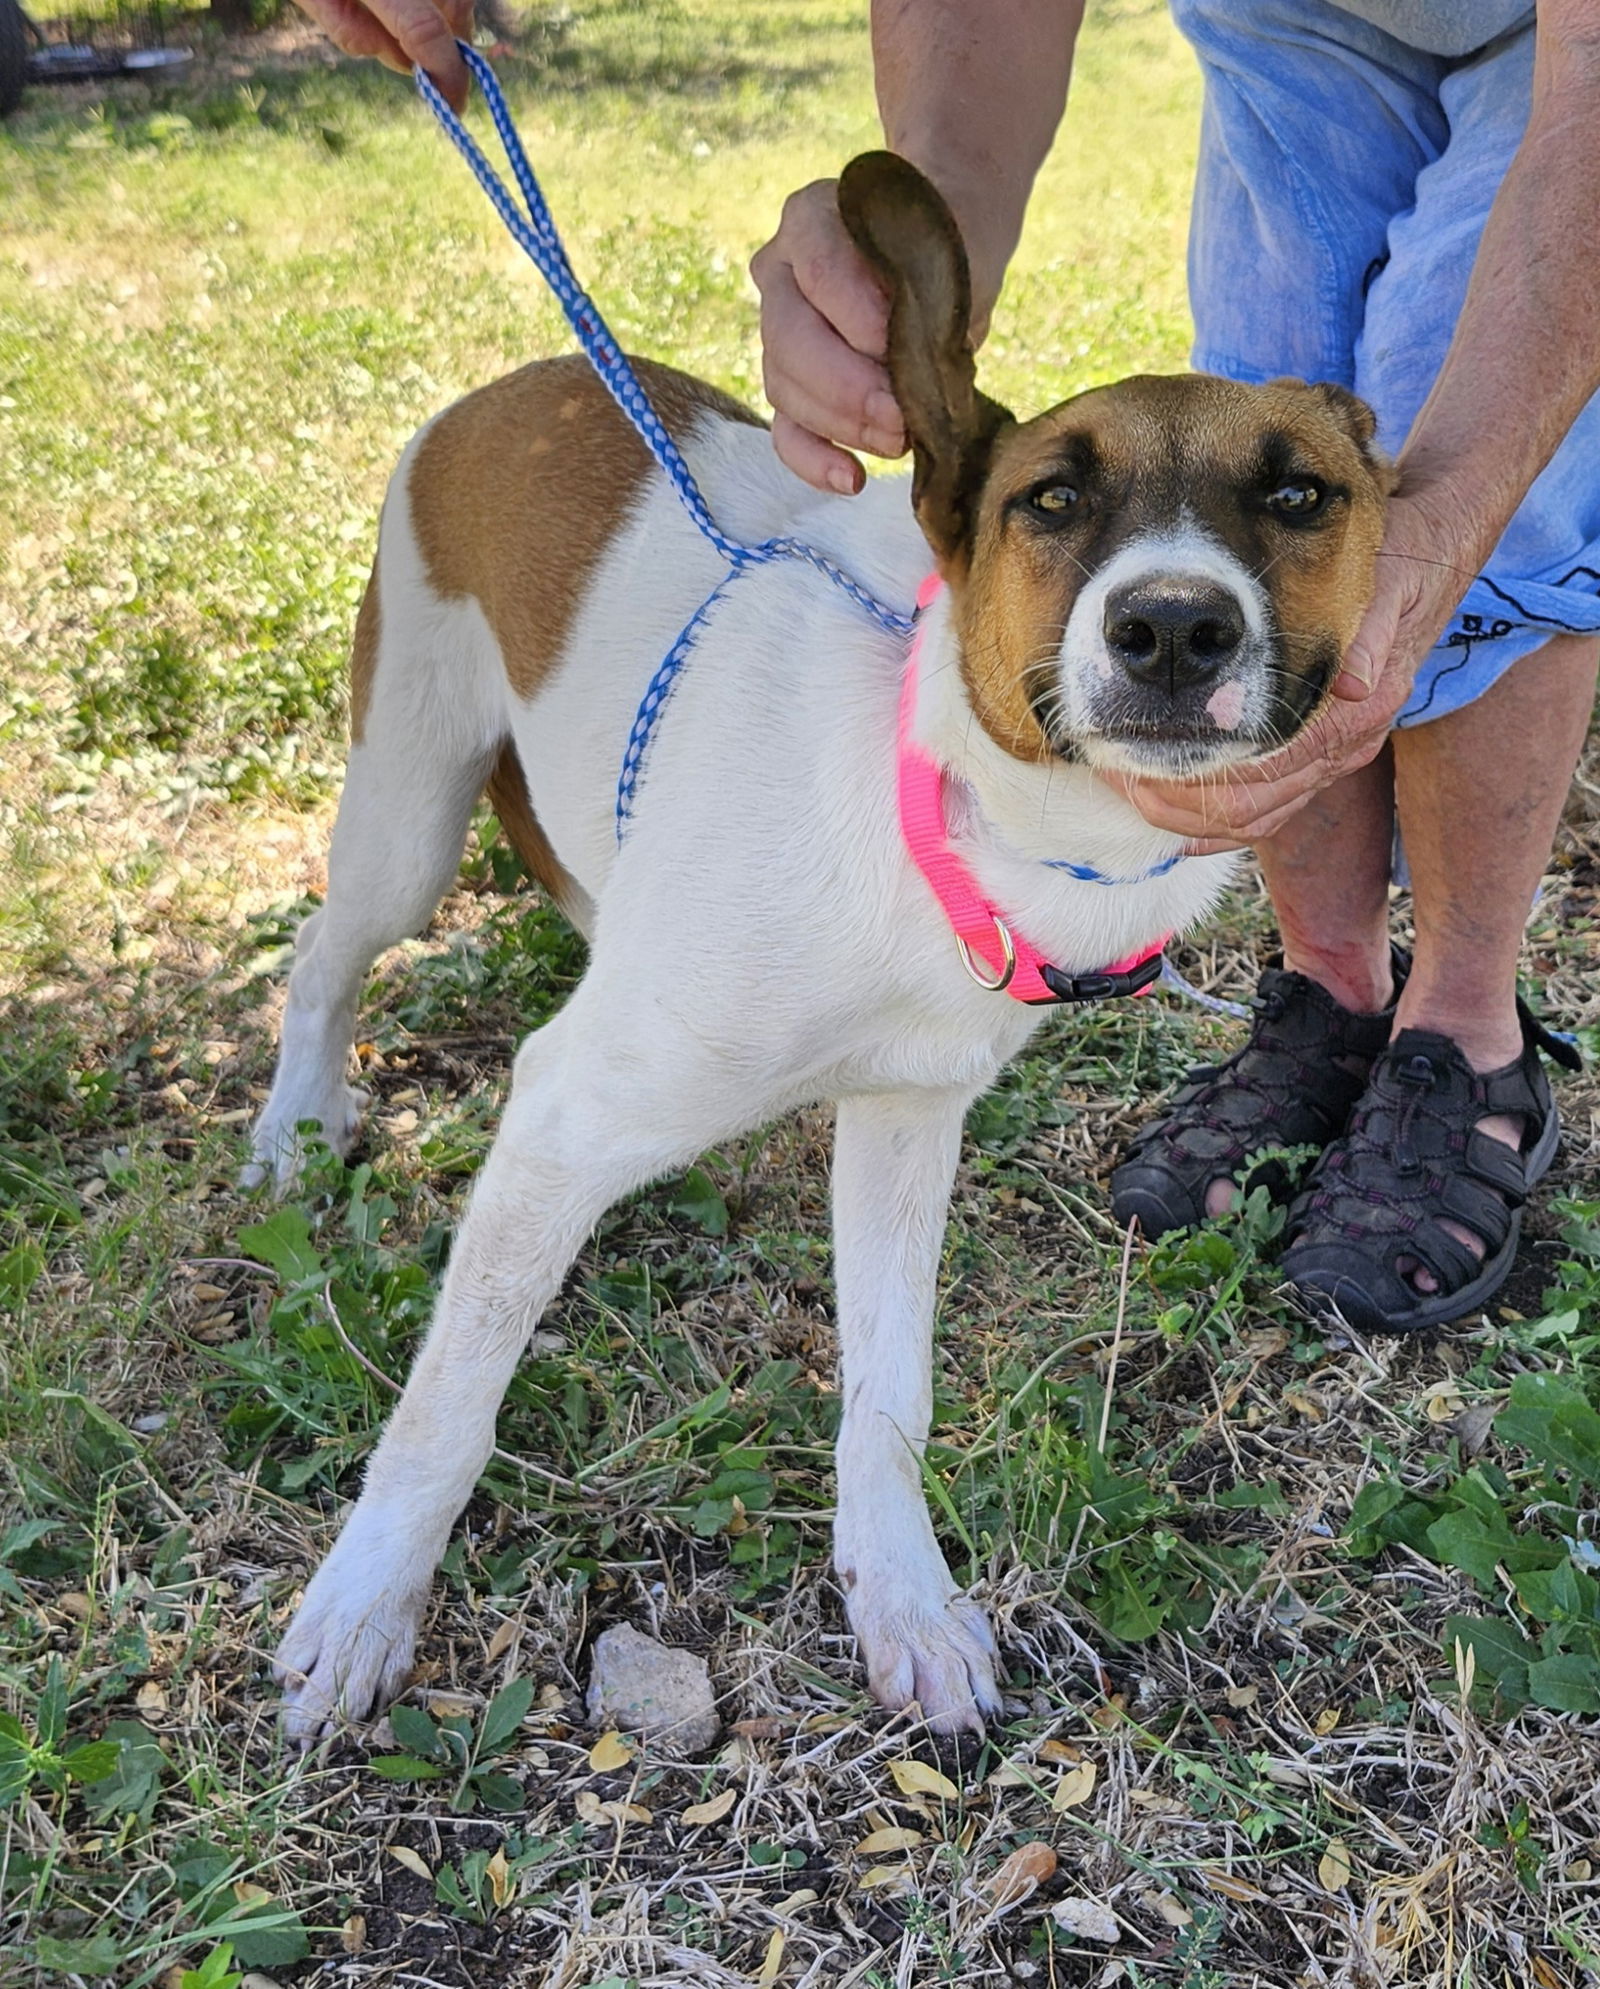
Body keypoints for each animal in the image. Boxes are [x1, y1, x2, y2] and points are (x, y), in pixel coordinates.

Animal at [258, 151, 1385, 1742]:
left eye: (1297, 494)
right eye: (1049, 499)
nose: (1173, 628)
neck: (949, 808)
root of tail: (524, 377)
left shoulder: (907, 1120)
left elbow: (889, 1390)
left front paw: (900, 1595)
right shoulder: (564, 1106)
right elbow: (446, 1408)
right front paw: (365, 1601)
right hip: (408, 815)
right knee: (324, 951)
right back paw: (297, 1125)